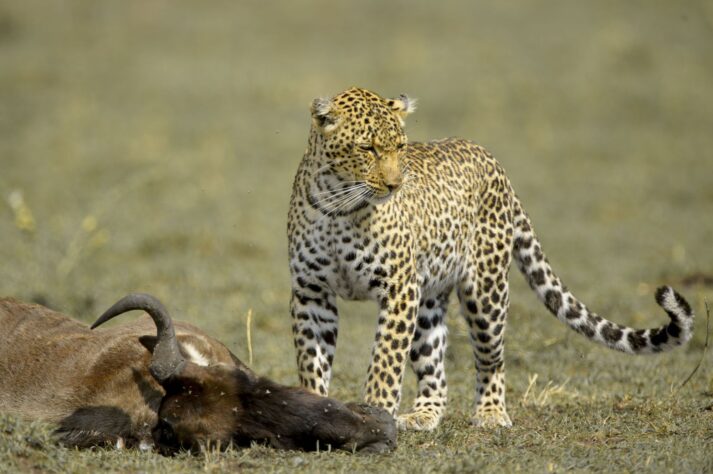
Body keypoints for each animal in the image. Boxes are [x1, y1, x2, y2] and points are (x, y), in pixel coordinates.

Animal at [287, 86, 695, 431]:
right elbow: (312, 361)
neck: (340, 206)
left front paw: (375, 415)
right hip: (430, 297)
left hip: (485, 292)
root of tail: (492, 159)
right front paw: (317, 411)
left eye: (400, 146)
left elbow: (385, 363)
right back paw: (423, 416)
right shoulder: (311, 294)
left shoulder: (398, 290)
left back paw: (491, 413)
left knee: (491, 358)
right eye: (367, 149)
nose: (394, 185)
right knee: (435, 365)